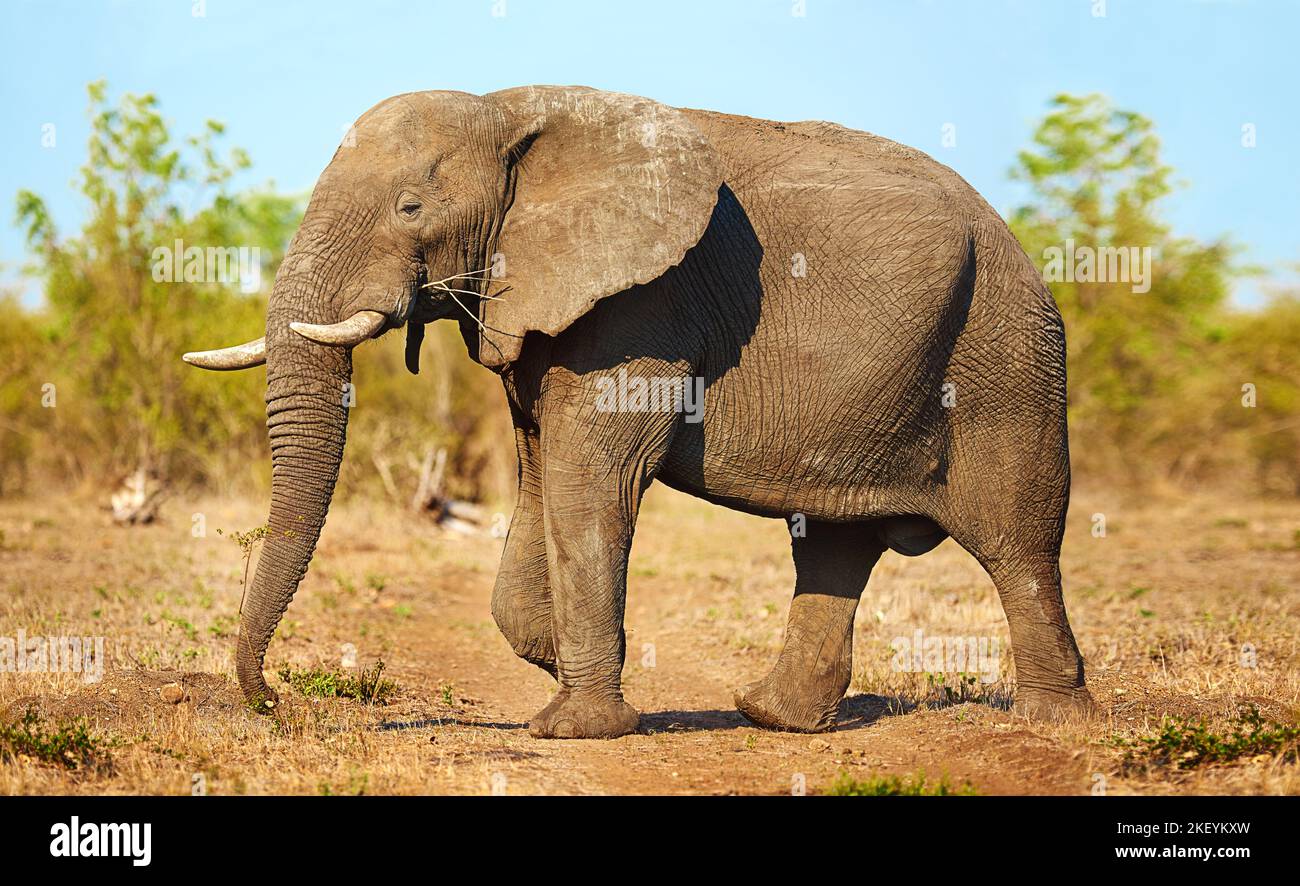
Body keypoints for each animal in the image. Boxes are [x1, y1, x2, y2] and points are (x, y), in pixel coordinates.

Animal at [184, 85, 1093, 738]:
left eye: (410, 208)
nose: (275, 702)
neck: (509, 110)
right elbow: (542, 473)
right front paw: (562, 668)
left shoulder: (642, 305)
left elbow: (594, 478)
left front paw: (576, 725)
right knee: (835, 544)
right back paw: (773, 717)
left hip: (1006, 355)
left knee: (1017, 540)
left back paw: (1050, 722)